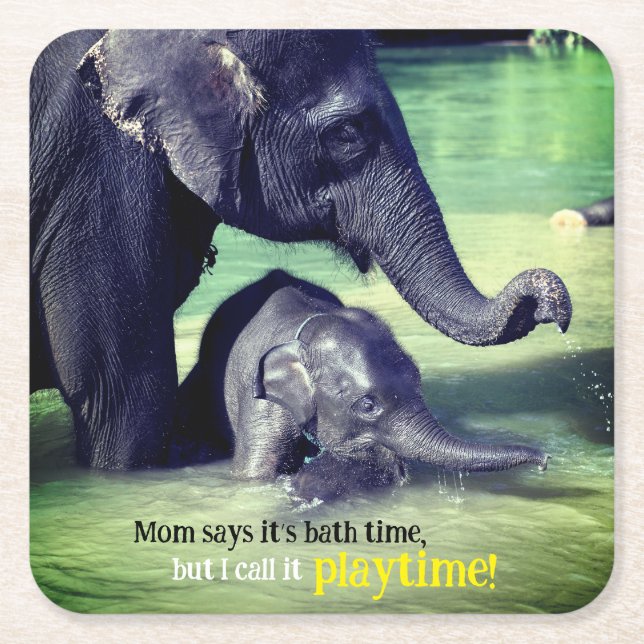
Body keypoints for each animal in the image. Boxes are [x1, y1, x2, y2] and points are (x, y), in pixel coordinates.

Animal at [179, 270, 550, 501]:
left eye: (419, 381)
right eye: (368, 405)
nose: (545, 460)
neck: (309, 329)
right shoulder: (262, 404)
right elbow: (254, 476)